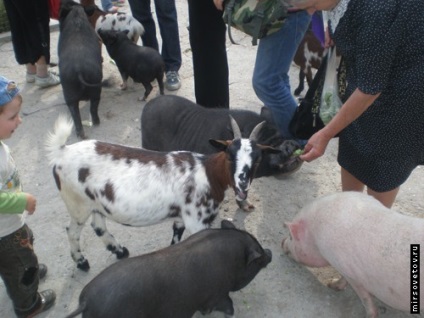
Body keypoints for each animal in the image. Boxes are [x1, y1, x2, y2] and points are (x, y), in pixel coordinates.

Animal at [45, 115, 278, 270]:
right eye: (229, 154)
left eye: (258, 159)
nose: (242, 185)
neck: (208, 173)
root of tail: (62, 151)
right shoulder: (197, 221)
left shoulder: (182, 217)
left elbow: (176, 240)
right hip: (77, 204)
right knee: (72, 231)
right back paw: (82, 262)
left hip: (95, 203)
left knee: (98, 226)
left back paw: (119, 251)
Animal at [58, 0, 103, 139]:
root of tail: (78, 69)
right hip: (95, 82)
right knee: (92, 105)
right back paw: (92, 126)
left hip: (69, 89)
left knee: (75, 109)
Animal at [66, 221, 272, 318]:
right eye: (258, 256)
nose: (269, 252)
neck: (232, 261)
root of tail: (86, 302)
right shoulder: (216, 294)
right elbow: (228, 305)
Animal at [282, 191, 424, 318]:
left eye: (291, 236)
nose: (282, 243)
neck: (315, 237)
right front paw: (331, 284)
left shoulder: (349, 271)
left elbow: (363, 296)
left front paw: (332, 285)